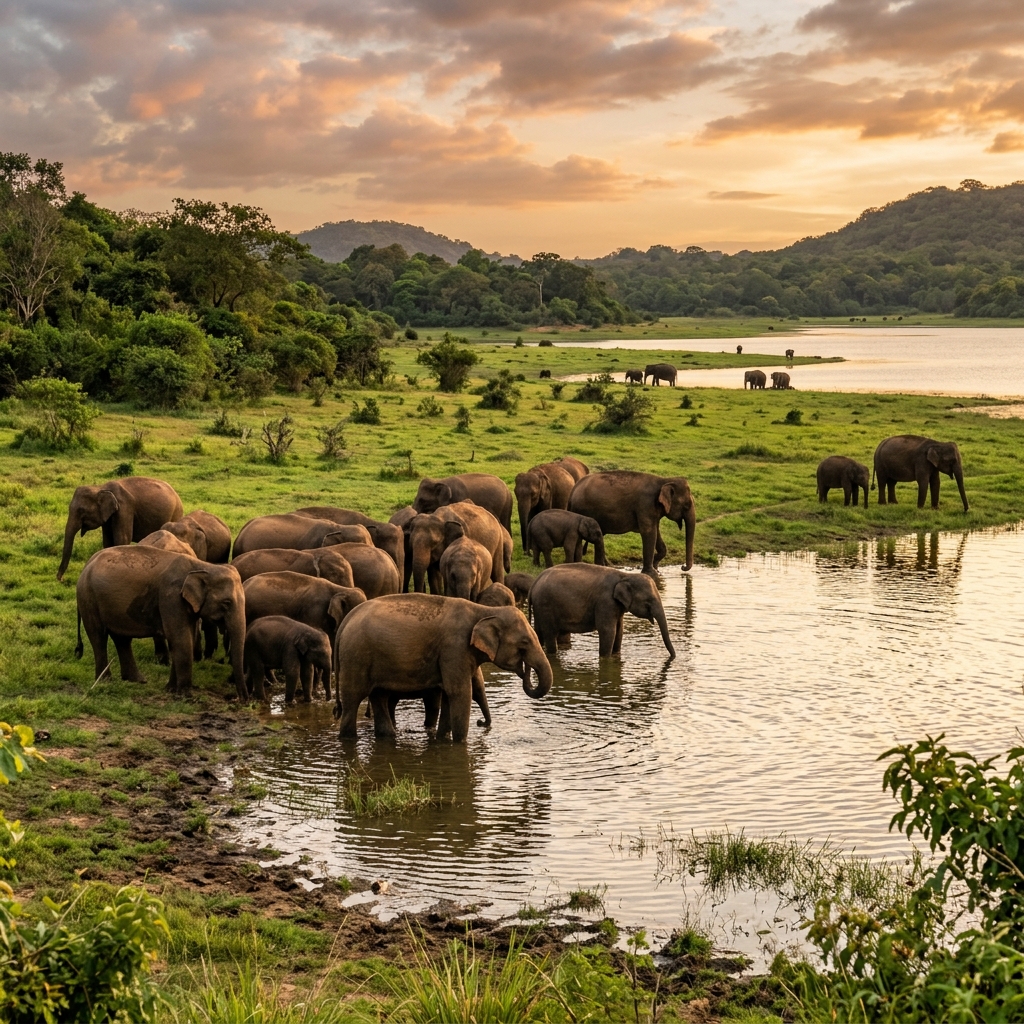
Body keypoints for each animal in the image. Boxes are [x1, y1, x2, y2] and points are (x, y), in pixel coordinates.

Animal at [75, 547, 246, 698]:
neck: (204, 566)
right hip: (88, 597)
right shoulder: (171, 597)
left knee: (121, 639)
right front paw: (185, 696)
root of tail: (87, 564)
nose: (243, 700)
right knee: (99, 637)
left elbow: (185, 639)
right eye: (226, 603)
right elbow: (180, 638)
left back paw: (137, 680)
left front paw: (170, 690)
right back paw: (106, 682)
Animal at [333, 595, 552, 742]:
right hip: (355, 658)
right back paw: (348, 738)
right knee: (352, 701)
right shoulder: (454, 648)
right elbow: (459, 693)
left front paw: (442, 740)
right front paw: (460, 743)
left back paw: (387, 737)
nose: (480, 723)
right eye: (524, 643)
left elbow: (448, 695)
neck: (485, 610)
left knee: (378, 696)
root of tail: (345, 621)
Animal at [530, 563, 675, 658]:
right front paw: (605, 659)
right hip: (546, 606)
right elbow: (608, 630)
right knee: (550, 634)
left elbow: (619, 630)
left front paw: (616, 655)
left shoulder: (616, 606)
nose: (673, 657)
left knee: (538, 632)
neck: (625, 576)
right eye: (648, 602)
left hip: (539, 608)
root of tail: (536, 581)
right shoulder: (606, 602)